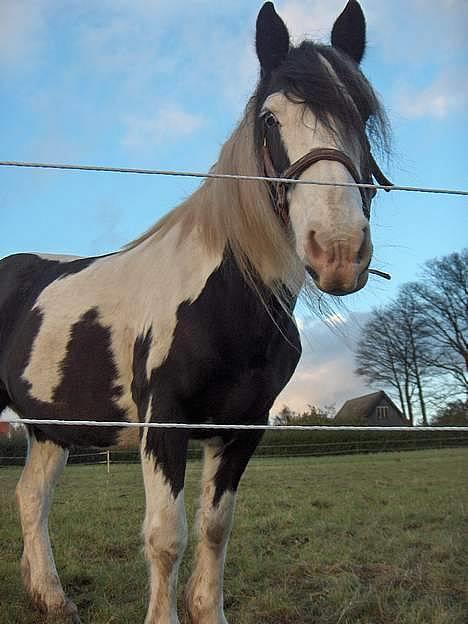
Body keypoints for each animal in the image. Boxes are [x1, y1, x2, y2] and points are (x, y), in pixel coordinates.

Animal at [0, 2, 392, 620]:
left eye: (364, 115)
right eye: (270, 120)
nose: (337, 251)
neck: (226, 303)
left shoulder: (242, 427)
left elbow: (214, 528)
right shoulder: (166, 423)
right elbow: (167, 537)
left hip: (48, 429)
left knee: (31, 498)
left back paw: (53, 599)